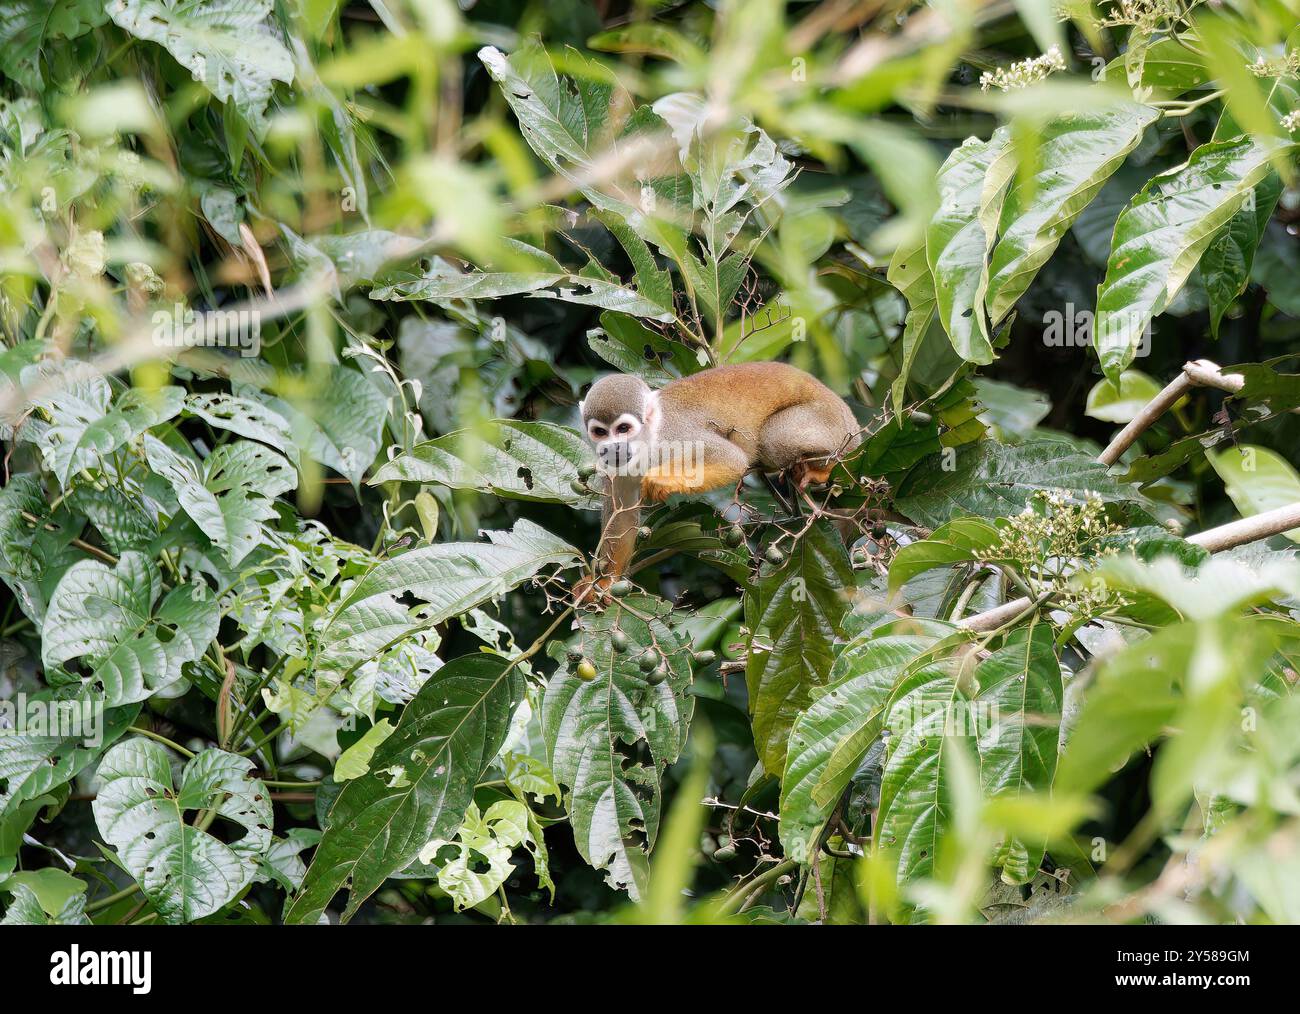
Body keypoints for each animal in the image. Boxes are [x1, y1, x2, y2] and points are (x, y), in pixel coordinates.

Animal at [574, 362, 861, 601]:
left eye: (623, 429)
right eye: (600, 432)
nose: (613, 448)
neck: (647, 439)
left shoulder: (675, 435)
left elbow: (730, 458)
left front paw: (663, 481)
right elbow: (621, 514)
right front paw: (604, 583)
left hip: (829, 424)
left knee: (773, 439)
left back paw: (823, 469)